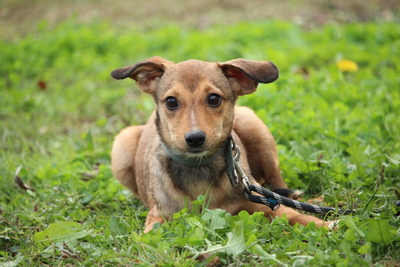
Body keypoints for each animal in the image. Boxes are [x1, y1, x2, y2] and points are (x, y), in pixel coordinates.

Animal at [110, 56, 334, 232]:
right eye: (171, 101)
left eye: (214, 98)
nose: (195, 138)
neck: (198, 167)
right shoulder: (159, 216)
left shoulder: (255, 202)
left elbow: (292, 213)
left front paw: (324, 224)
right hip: (122, 144)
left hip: (255, 127)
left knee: (277, 183)